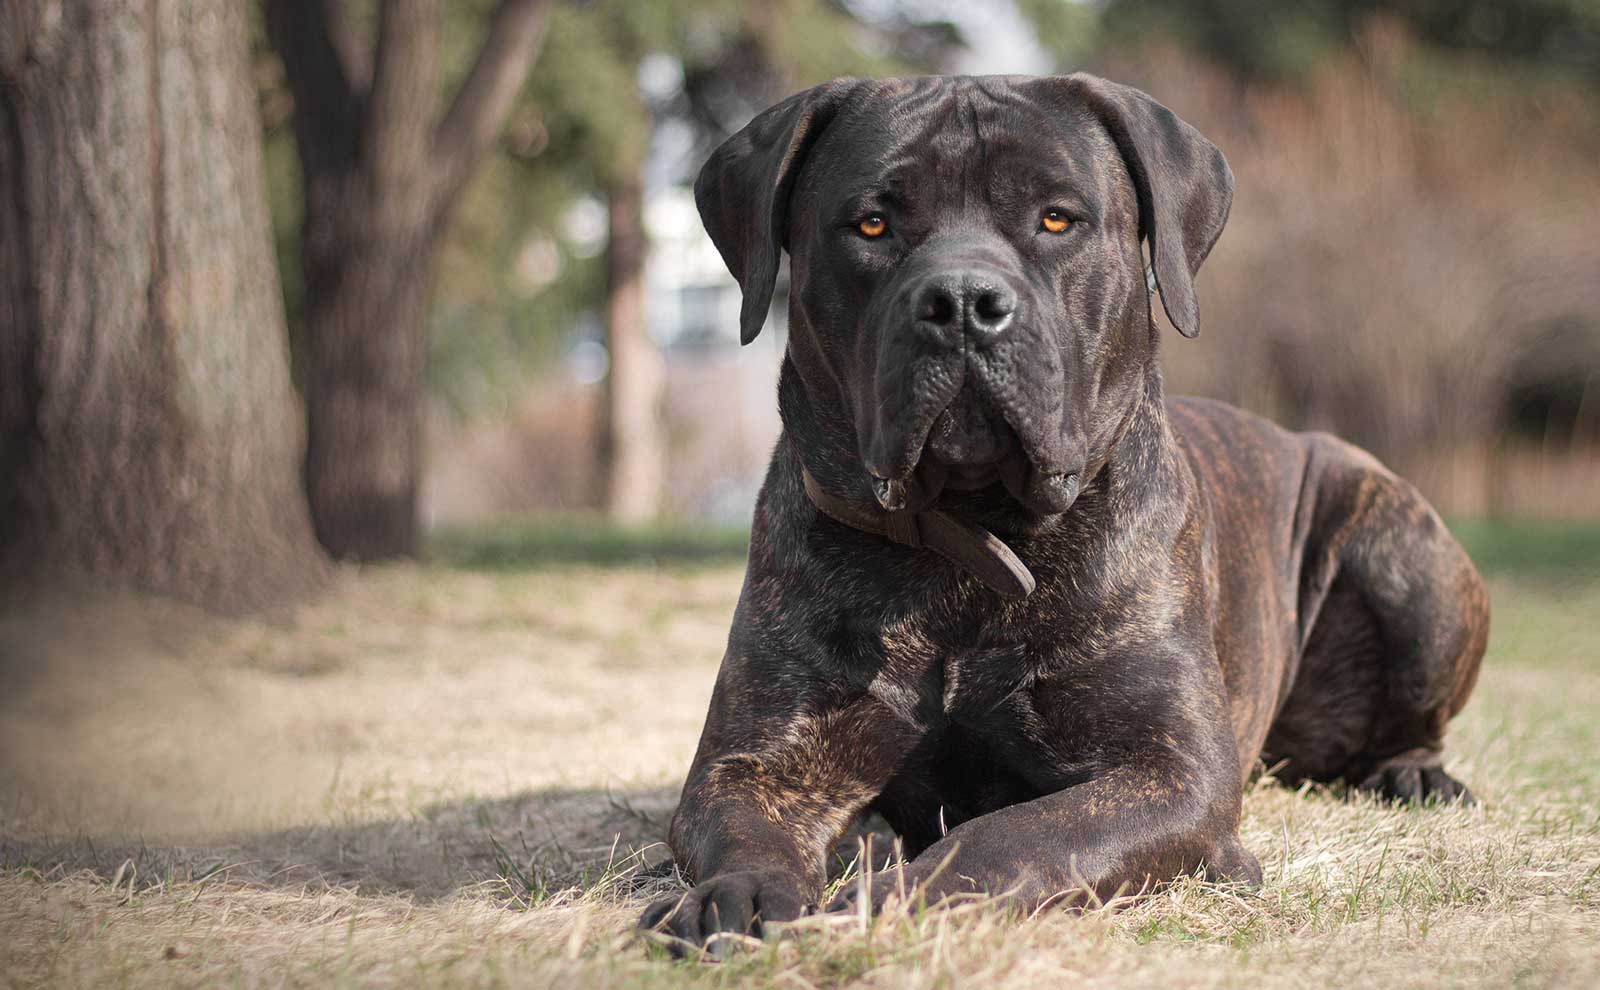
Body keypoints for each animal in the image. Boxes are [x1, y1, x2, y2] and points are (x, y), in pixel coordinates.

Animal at [640, 75, 1484, 946]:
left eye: (1056, 219)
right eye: (872, 223)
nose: (963, 299)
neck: (968, 537)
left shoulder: (1170, 772)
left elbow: (1009, 835)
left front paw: (889, 900)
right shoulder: (755, 757)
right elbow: (745, 823)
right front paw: (734, 895)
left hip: (1408, 563)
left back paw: (1416, 776)